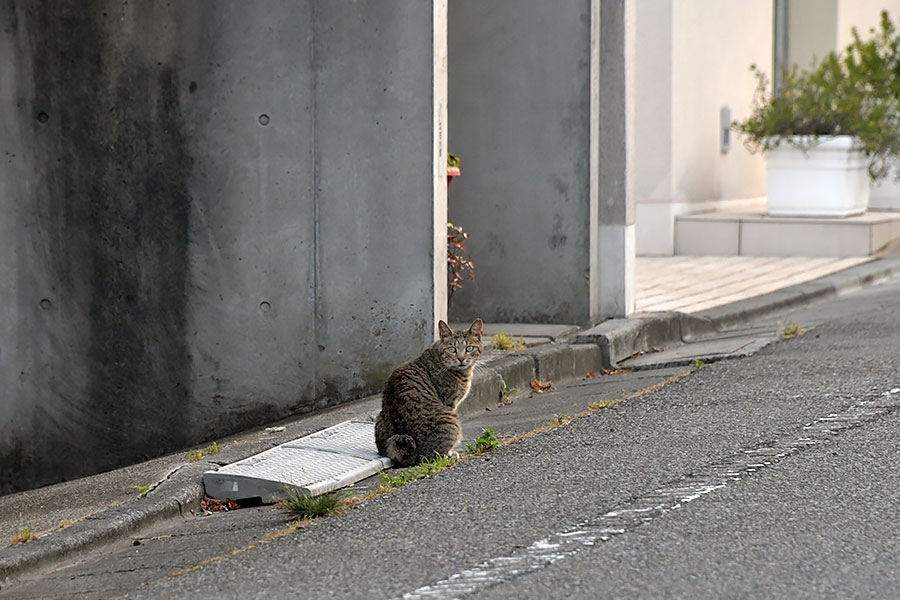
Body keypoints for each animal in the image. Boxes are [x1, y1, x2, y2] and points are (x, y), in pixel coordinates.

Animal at [374, 316, 486, 466]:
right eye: (452, 349)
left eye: (469, 348)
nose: (461, 359)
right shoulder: (450, 403)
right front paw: (451, 453)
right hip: (452, 422)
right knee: (433, 456)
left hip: (379, 419)